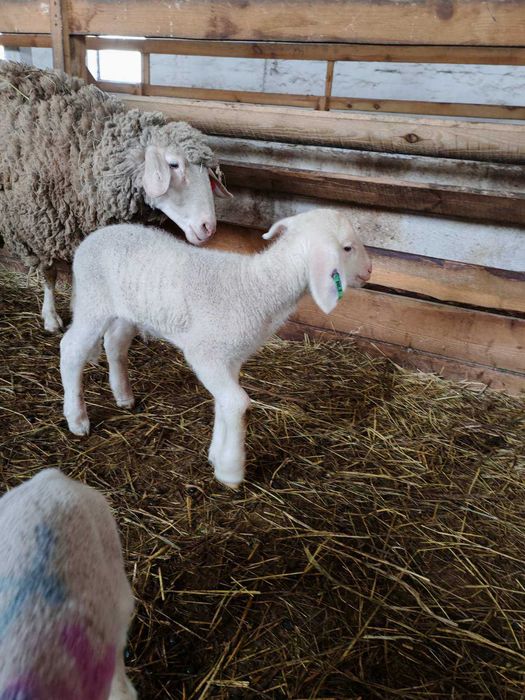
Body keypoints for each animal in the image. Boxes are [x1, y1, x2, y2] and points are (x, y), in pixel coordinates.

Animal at [0, 60, 231, 333]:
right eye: (174, 165)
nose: (209, 227)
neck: (83, 152)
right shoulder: (36, 222)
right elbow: (49, 273)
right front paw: (51, 317)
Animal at [60, 208, 372, 488]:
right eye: (347, 247)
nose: (370, 271)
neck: (258, 287)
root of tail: (93, 238)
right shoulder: (205, 354)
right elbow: (237, 402)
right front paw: (230, 470)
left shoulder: (231, 359)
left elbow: (224, 403)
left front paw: (216, 455)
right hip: (93, 302)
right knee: (71, 349)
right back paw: (77, 420)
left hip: (128, 311)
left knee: (115, 343)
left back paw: (123, 396)